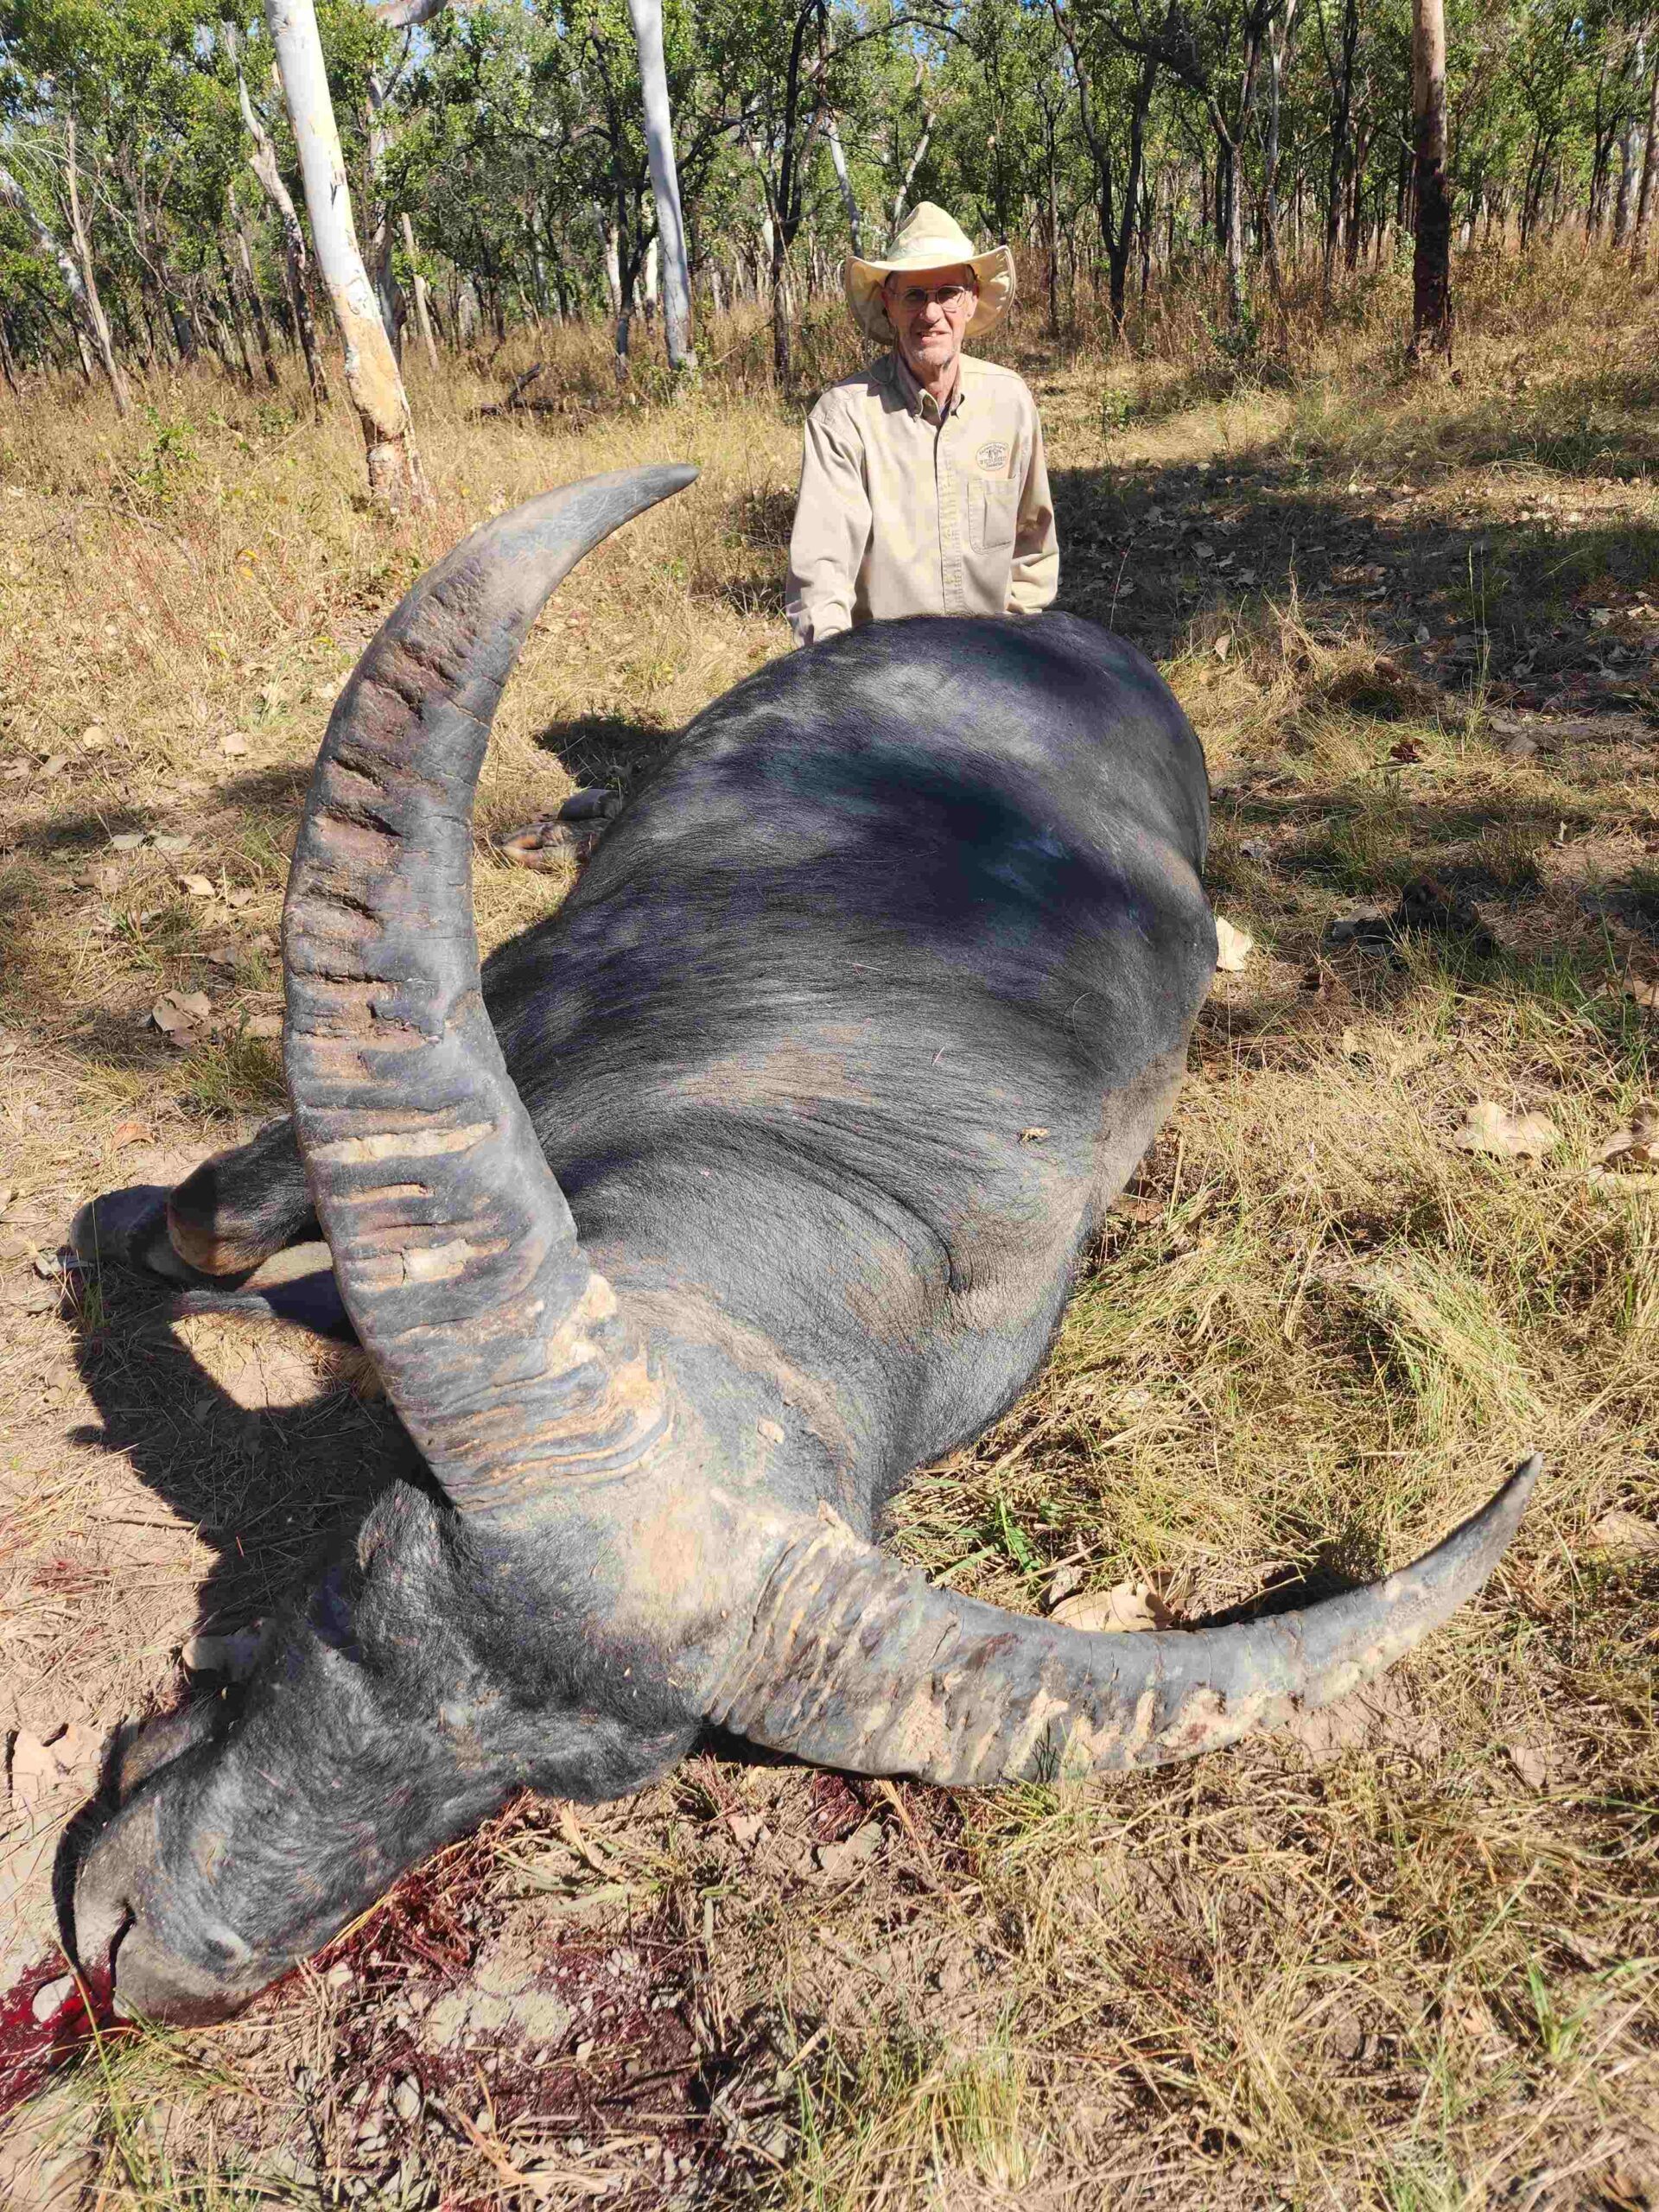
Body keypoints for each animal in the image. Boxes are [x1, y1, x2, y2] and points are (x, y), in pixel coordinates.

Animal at [66, 465, 1536, 2024]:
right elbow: (220, 1208)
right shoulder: (516, 991)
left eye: (549, 1781)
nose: (153, 1959)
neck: (808, 1152)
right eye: (354, 1576)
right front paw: (116, 1241)